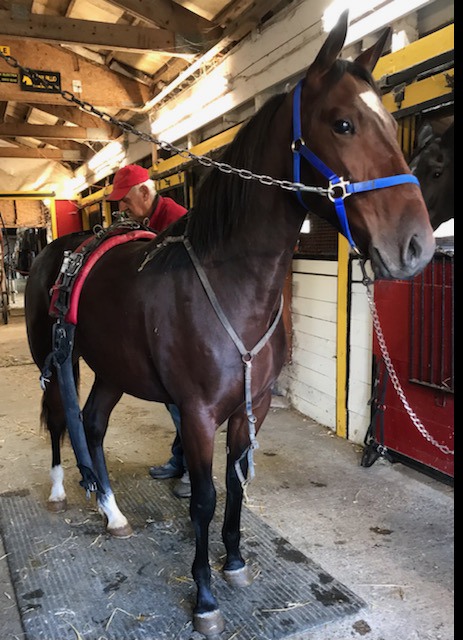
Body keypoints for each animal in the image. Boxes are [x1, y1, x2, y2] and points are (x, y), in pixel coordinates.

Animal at [24, 11, 435, 637]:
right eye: (343, 124)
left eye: (390, 120)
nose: (415, 247)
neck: (229, 285)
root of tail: (57, 249)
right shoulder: (195, 414)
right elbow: (204, 498)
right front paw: (204, 597)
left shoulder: (253, 405)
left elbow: (238, 483)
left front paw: (236, 561)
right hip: (56, 358)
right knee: (57, 419)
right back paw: (56, 490)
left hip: (113, 368)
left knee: (90, 424)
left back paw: (111, 511)